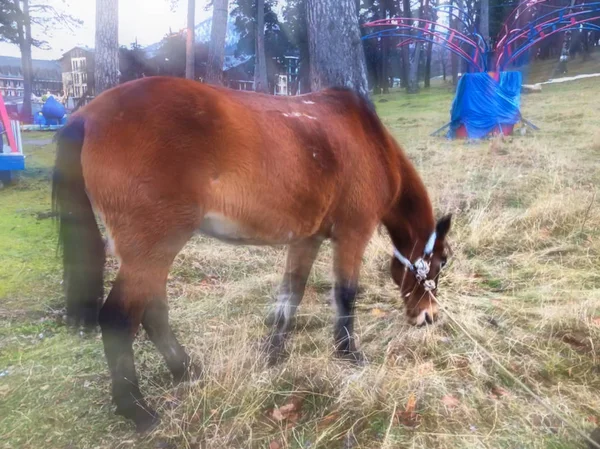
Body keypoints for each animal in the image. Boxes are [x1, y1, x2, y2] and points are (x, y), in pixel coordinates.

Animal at [51, 77, 452, 430]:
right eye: (441, 261)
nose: (429, 316)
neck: (368, 141)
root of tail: (87, 115)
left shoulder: (305, 239)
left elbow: (291, 293)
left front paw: (274, 352)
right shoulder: (353, 234)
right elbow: (345, 294)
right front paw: (348, 352)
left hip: (149, 253)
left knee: (153, 312)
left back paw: (185, 369)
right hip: (153, 247)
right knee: (118, 319)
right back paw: (135, 408)